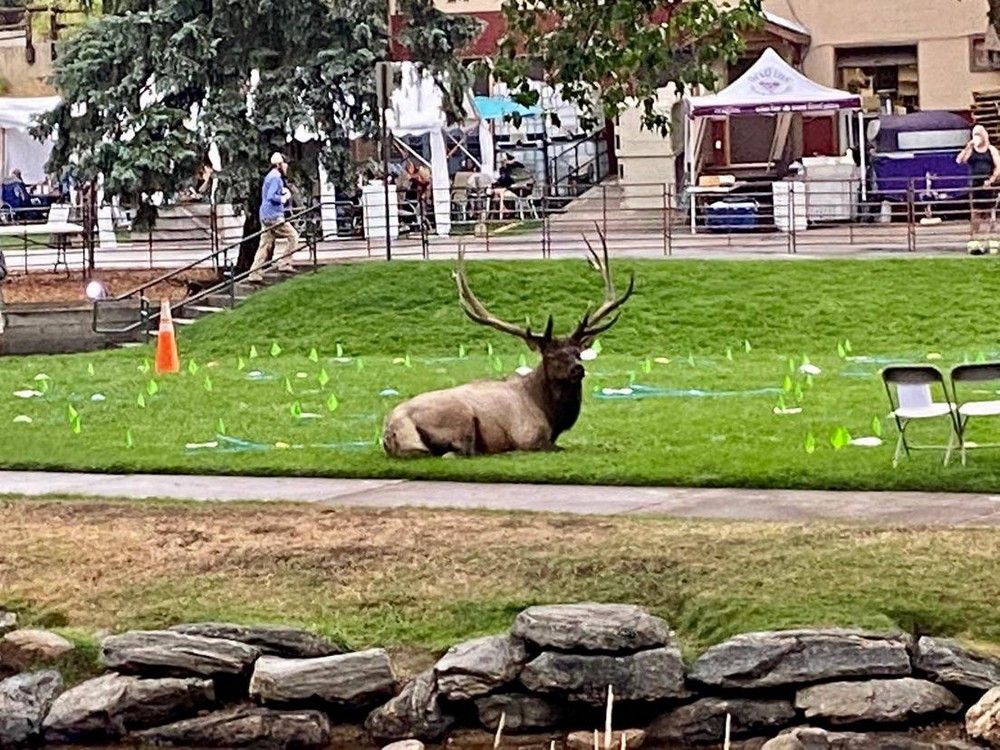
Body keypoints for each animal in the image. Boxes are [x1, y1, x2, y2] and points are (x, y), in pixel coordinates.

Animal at [380, 232, 632, 458]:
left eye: (577, 352)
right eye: (550, 355)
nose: (577, 369)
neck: (551, 414)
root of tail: (390, 431)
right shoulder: (530, 437)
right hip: (460, 420)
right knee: (455, 453)